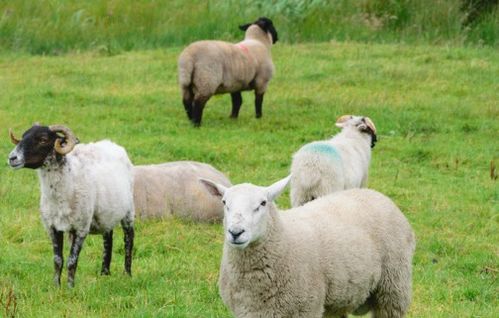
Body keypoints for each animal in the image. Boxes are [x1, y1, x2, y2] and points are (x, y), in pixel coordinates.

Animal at [8, 125, 137, 288]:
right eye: (24, 136)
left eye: (43, 139)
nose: (12, 158)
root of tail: (112, 144)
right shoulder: (52, 227)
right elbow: (58, 260)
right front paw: (56, 286)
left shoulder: (81, 228)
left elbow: (71, 261)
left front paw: (70, 287)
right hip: (106, 213)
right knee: (108, 239)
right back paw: (104, 273)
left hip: (129, 211)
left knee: (129, 240)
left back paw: (127, 274)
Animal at [201, 176, 416, 318]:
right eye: (224, 202)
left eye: (262, 203)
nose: (236, 232)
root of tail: (374, 193)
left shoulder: (306, 308)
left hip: (393, 287)